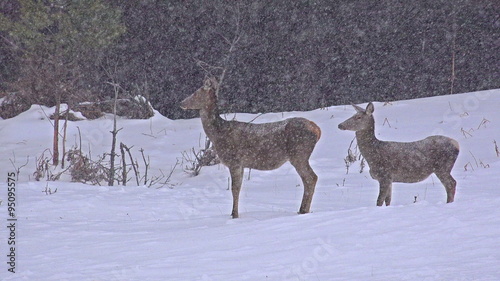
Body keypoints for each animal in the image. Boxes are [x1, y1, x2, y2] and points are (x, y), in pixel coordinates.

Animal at [180, 77, 320, 218]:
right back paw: (302, 210)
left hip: (299, 154)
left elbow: (234, 189)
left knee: (311, 178)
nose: (181, 102)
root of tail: (317, 130)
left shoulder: (234, 161)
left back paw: (303, 210)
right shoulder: (241, 165)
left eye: (196, 93)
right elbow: (238, 187)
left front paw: (234, 215)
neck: (218, 133)